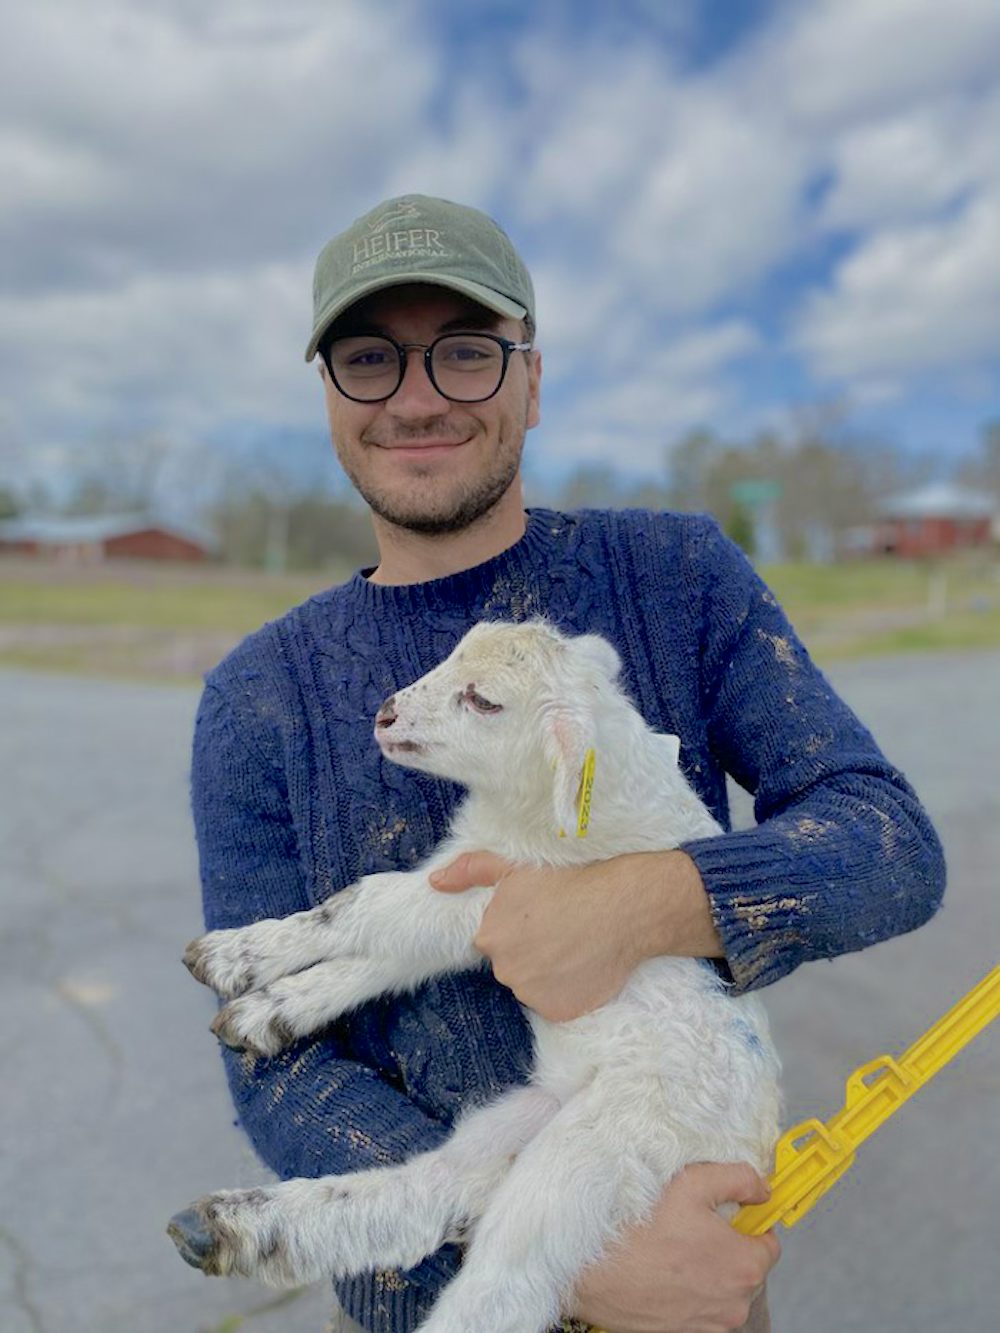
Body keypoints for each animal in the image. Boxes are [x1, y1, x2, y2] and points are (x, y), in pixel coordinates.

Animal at [170, 618, 784, 1327]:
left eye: (485, 701)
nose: (385, 714)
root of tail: (753, 1161)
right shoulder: (464, 885)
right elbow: (379, 950)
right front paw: (258, 997)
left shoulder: (504, 896)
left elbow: (361, 904)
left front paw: (238, 962)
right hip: (523, 1120)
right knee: (429, 1191)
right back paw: (228, 1228)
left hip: (602, 1156)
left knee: (505, 1284)